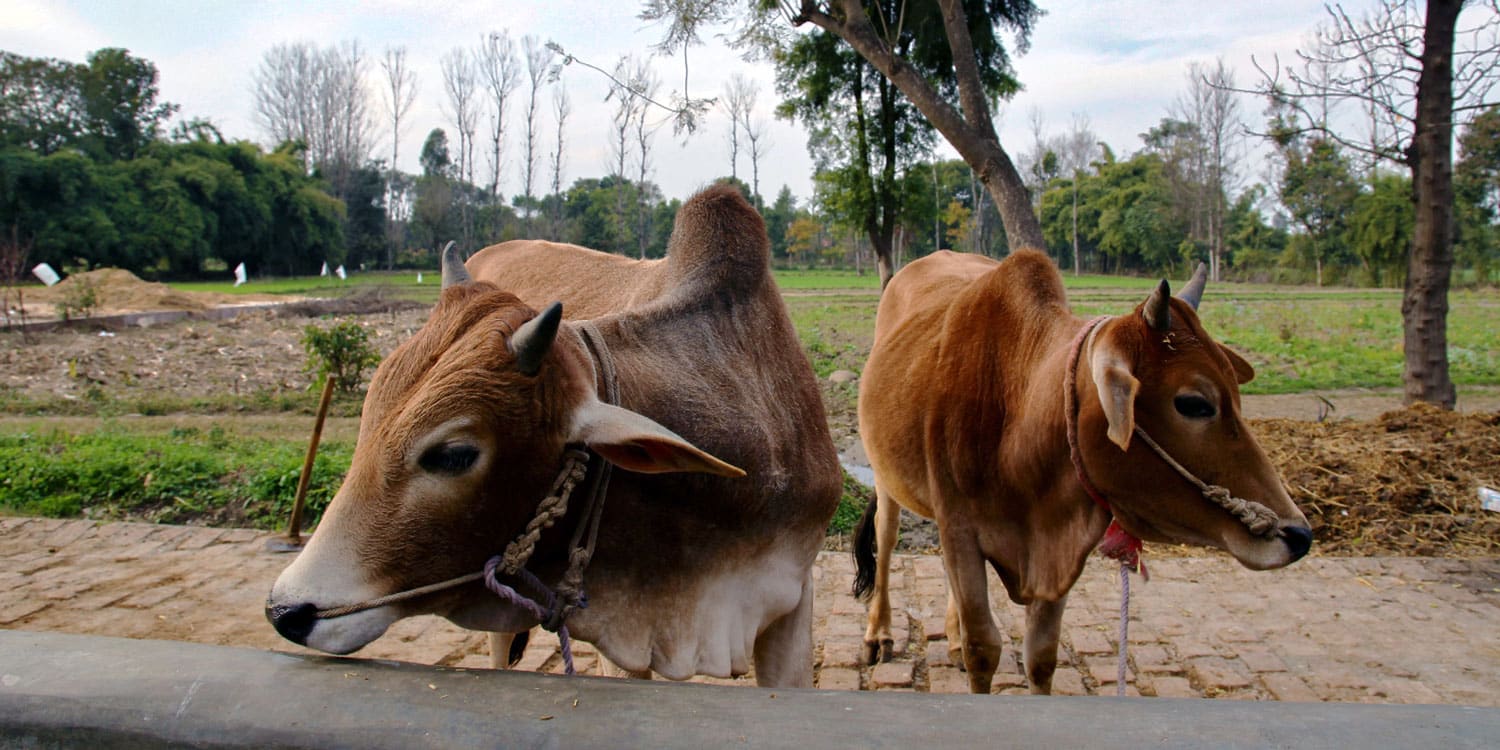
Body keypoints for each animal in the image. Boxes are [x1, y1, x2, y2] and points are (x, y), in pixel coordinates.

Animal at [853, 249, 1313, 695]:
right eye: (1194, 403)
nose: (1299, 534)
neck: (1019, 412)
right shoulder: (961, 530)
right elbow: (983, 649)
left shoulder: (1063, 546)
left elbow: (1041, 657)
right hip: (887, 478)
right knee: (886, 538)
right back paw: (879, 634)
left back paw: (949, 637)